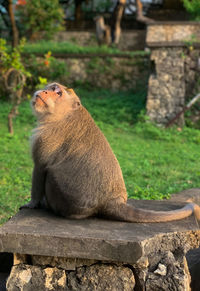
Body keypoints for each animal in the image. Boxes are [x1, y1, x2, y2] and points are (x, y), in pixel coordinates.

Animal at [19, 83, 200, 225]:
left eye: (58, 92)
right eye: (51, 87)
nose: (44, 91)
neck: (64, 114)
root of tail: (111, 202)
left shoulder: (45, 137)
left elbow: (41, 167)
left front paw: (32, 203)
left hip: (68, 201)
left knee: (52, 174)